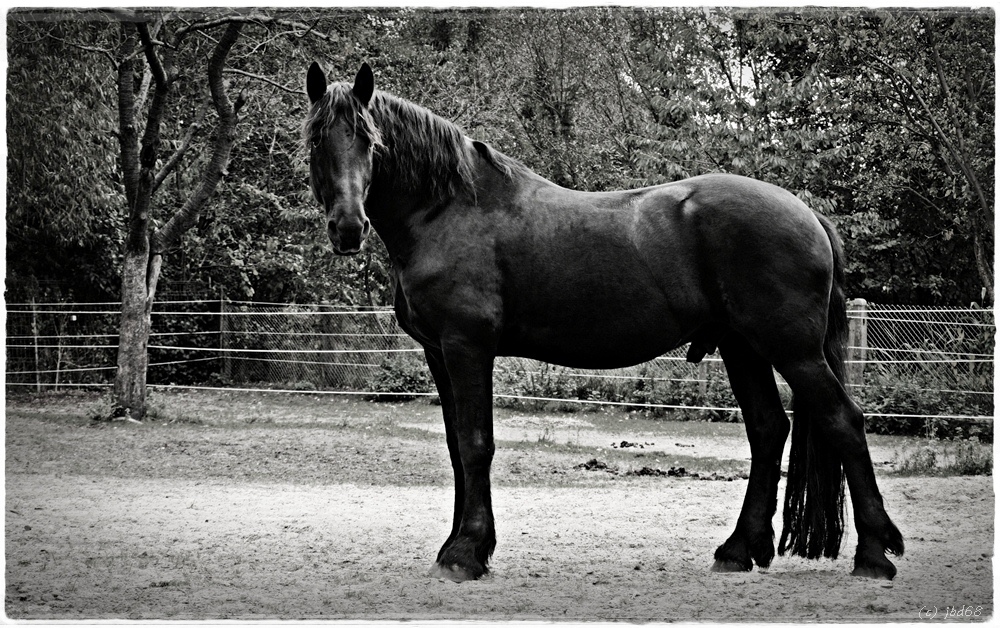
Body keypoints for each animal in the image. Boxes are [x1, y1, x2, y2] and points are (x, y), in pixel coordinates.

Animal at [300, 61, 904, 580]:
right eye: (316, 142)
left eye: (370, 141)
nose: (347, 228)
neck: (450, 210)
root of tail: (807, 213)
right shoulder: (437, 353)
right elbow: (454, 448)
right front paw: (462, 545)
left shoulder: (466, 347)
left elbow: (475, 444)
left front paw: (466, 553)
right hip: (743, 348)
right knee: (768, 430)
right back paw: (738, 549)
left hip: (792, 350)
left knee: (843, 421)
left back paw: (874, 554)